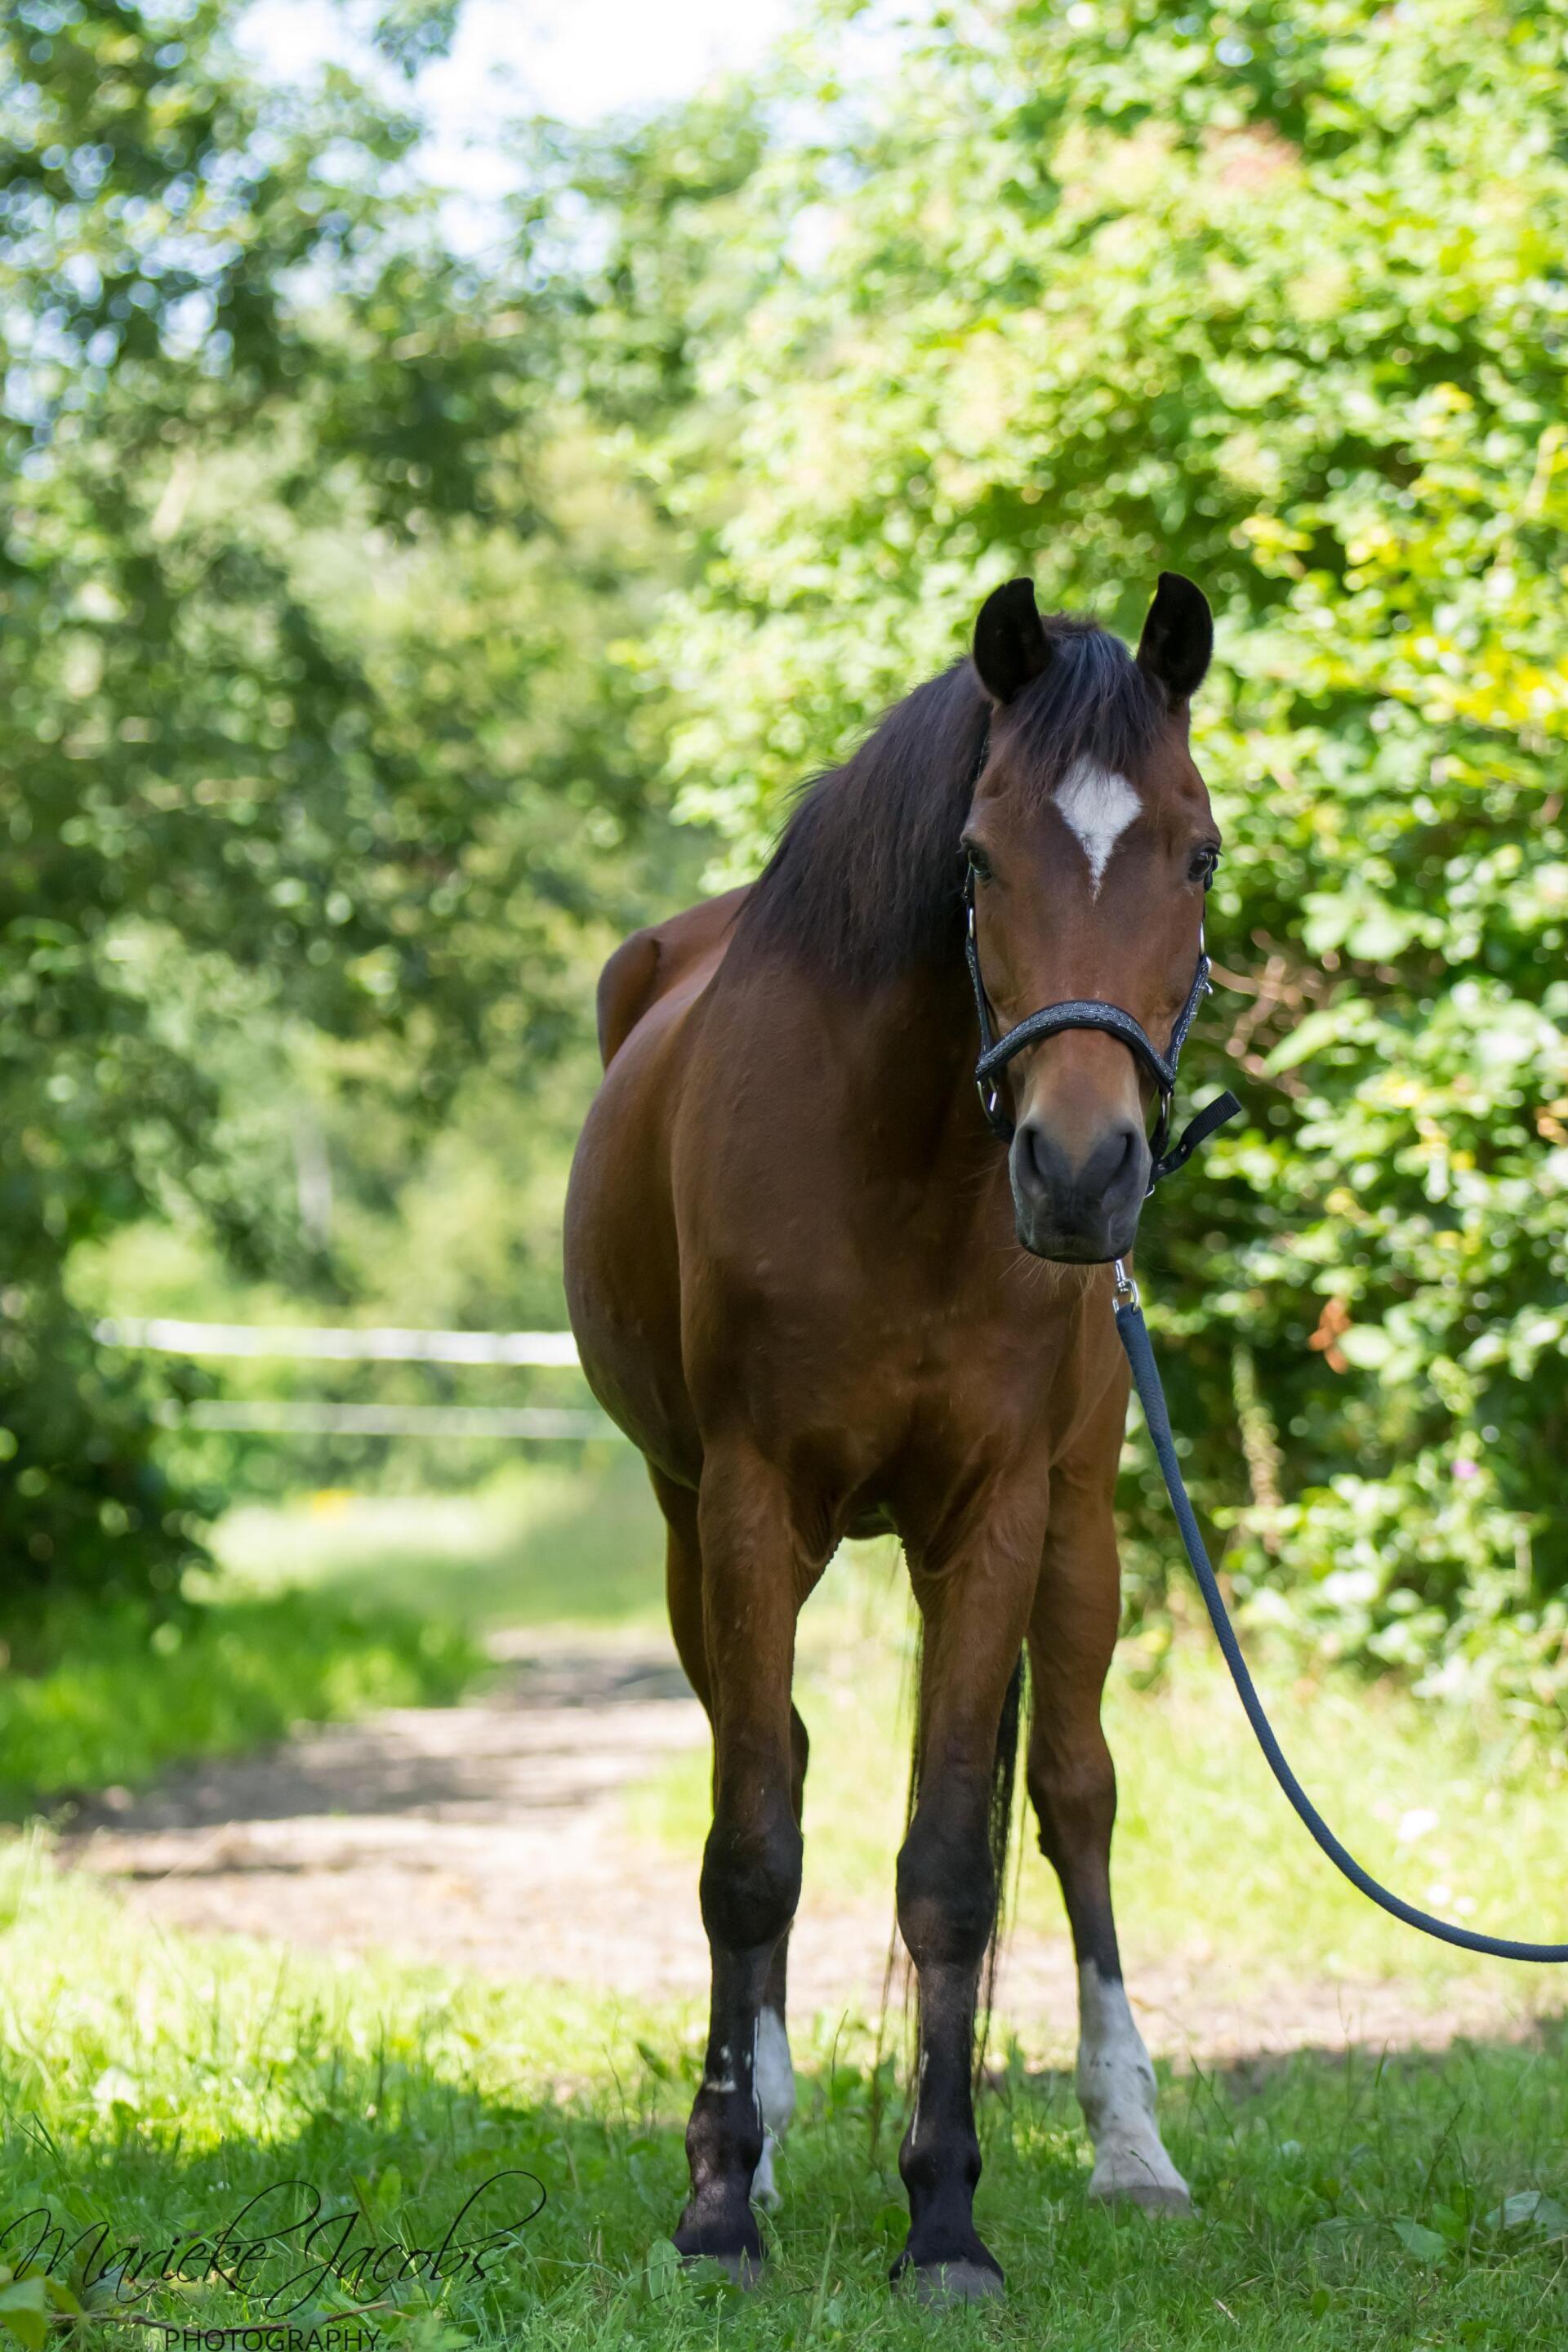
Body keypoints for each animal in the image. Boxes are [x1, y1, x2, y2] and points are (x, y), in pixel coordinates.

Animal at [563, 568, 1221, 2301]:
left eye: (1199, 851)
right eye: (980, 860)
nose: (1083, 1171)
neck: (906, 1166)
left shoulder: (993, 1517)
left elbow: (951, 1868)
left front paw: (945, 2220)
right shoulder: (747, 1503)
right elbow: (751, 1848)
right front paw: (719, 2205)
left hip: (1085, 1526)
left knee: (1073, 1794)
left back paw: (1132, 2147)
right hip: (694, 1537)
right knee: (775, 1761)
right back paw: (767, 2135)